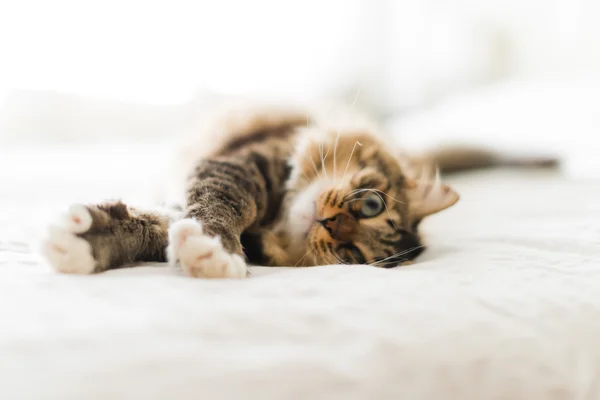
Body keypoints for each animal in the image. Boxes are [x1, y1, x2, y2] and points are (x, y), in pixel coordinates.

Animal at [41, 105, 556, 278]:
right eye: (372, 204)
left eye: (351, 255)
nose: (332, 224)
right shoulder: (239, 163)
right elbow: (219, 203)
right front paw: (214, 247)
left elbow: (156, 228)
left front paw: (83, 242)